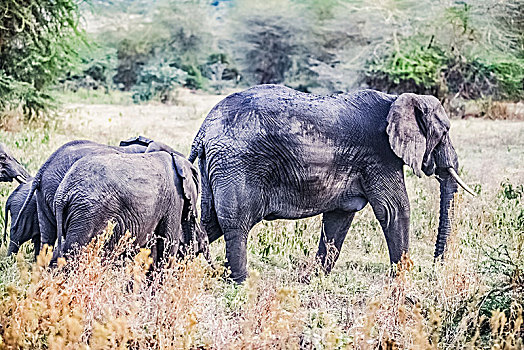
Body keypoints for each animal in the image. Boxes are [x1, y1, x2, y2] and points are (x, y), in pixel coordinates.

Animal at [190, 85, 476, 284]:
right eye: (445, 132)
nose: (437, 268)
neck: (395, 98)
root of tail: (203, 131)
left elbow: (340, 216)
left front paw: (312, 280)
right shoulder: (380, 156)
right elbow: (394, 210)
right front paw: (403, 281)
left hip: (218, 166)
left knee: (207, 222)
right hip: (236, 163)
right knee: (235, 222)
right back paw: (241, 283)